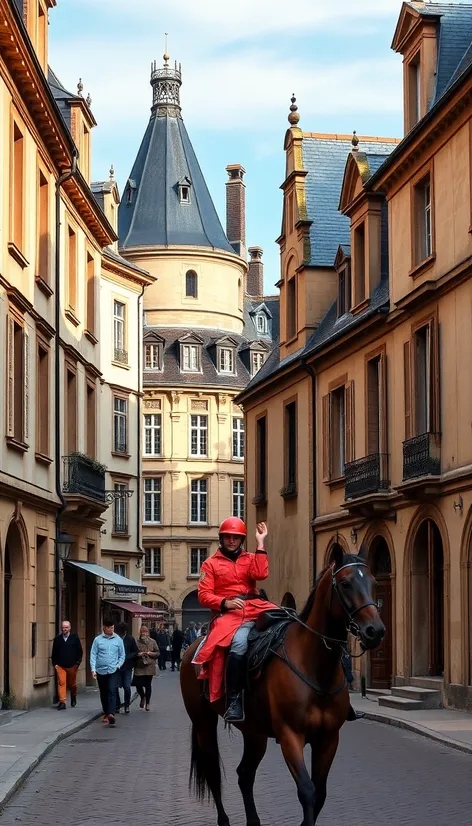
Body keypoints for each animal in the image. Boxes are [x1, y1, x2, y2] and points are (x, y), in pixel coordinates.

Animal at [180, 540, 384, 824]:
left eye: (374, 582)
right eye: (345, 583)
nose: (375, 631)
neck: (316, 667)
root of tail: (195, 645)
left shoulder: (329, 739)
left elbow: (320, 794)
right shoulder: (290, 736)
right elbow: (307, 791)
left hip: (254, 732)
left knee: (245, 774)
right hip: (203, 724)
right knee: (212, 772)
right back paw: (224, 820)